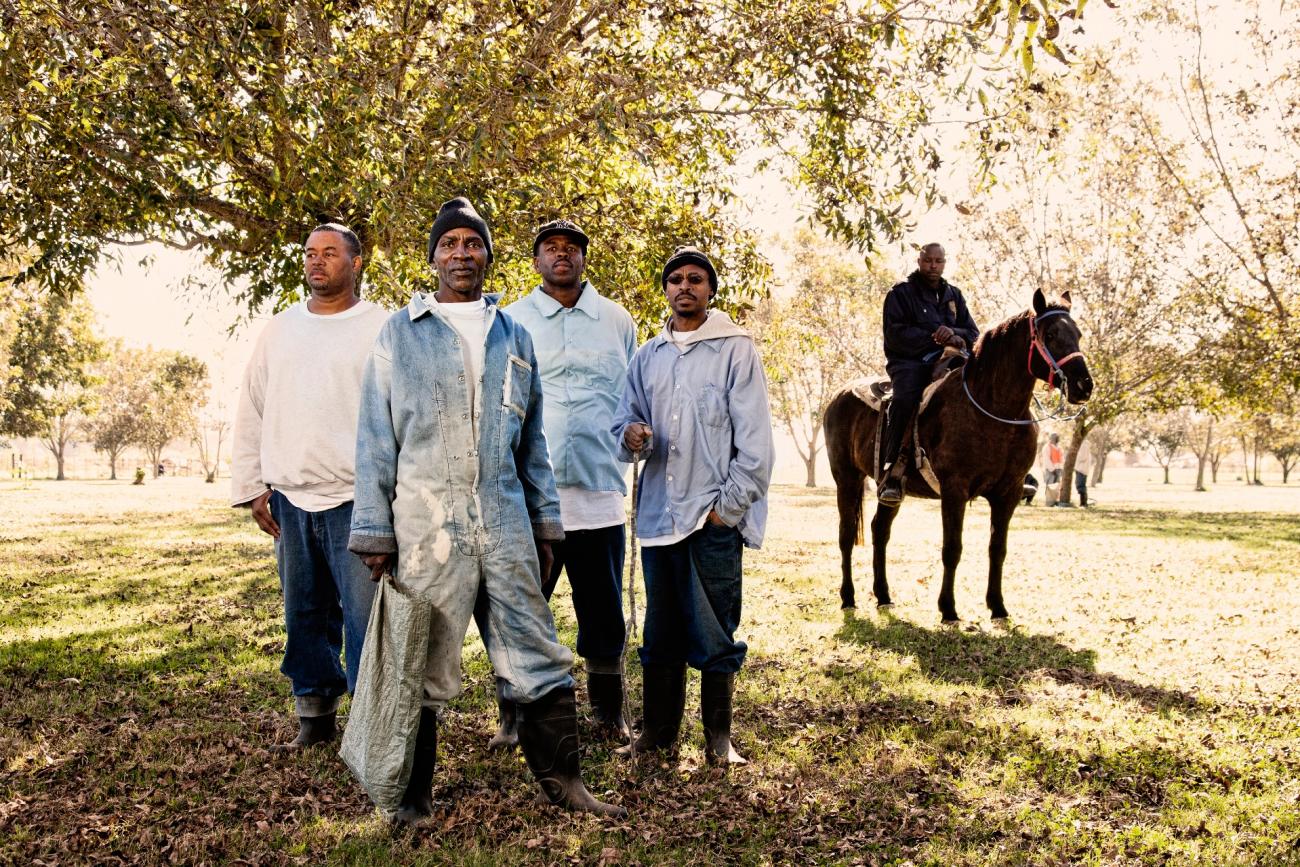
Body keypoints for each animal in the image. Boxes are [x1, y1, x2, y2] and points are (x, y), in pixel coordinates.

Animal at [826, 291, 1092, 623]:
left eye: (1078, 334)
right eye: (1052, 335)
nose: (1084, 385)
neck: (992, 409)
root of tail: (838, 397)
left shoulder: (1009, 491)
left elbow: (998, 549)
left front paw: (997, 607)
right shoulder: (955, 489)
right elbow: (952, 548)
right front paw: (949, 609)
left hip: (890, 490)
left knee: (879, 531)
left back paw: (884, 596)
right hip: (847, 479)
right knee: (847, 534)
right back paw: (848, 598)